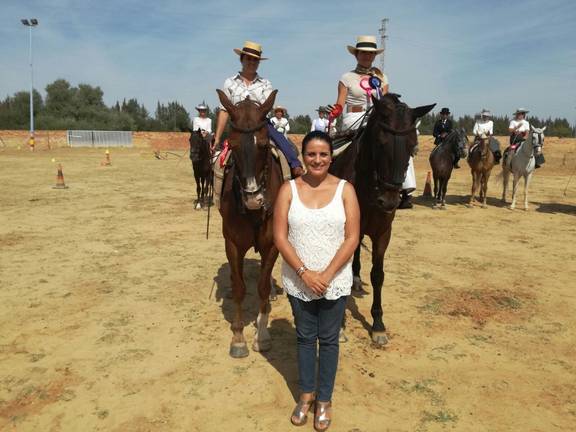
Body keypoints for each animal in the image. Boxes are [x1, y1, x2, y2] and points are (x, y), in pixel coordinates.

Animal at [215, 89, 283, 358]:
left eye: (264, 144)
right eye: (232, 145)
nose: (254, 199)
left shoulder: (272, 244)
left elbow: (262, 287)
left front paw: (262, 336)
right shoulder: (233, 244)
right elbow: (241, 289)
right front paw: (238, 338)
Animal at [329, 93, 435, 345]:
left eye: (412, 145)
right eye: (380, 143)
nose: (389, 201)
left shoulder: (383, 233)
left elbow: (378, 275)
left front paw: (378, 324)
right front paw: (340, 326)